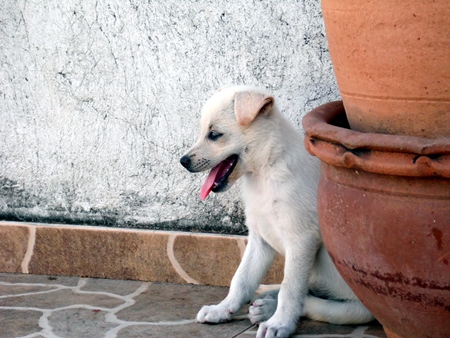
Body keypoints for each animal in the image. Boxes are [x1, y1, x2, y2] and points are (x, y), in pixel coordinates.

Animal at [179, 86, 372, 336]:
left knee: (310, 302)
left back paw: (268, 310)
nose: (183, 161)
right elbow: (241, 279)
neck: (266, 171)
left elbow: (291, 289)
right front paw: (221, 309)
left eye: (214, 134)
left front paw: (279, 324)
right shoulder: (260, 239)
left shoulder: (301, 241)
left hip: (356, 308)